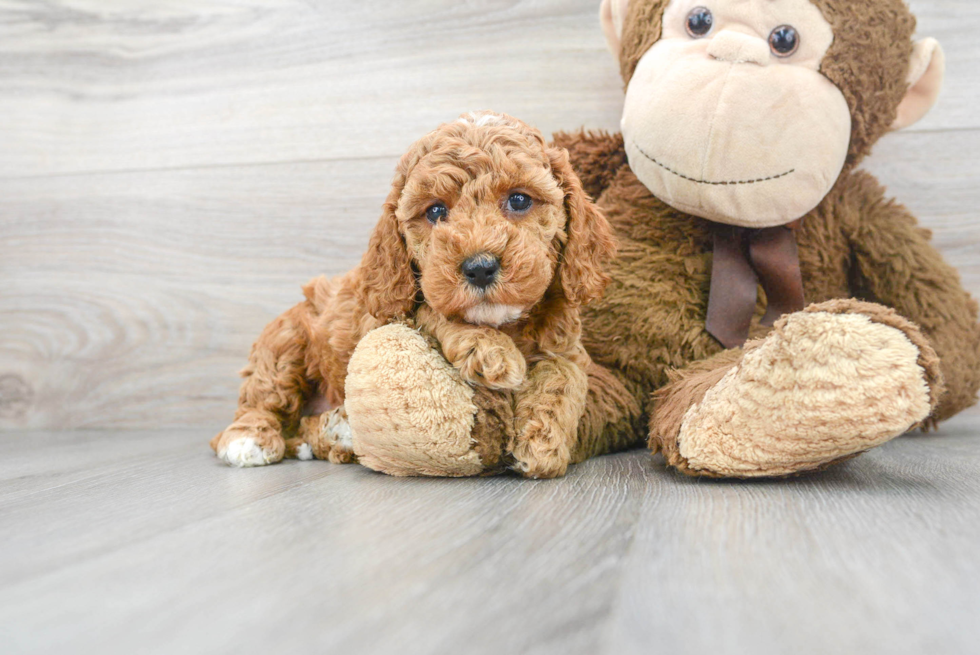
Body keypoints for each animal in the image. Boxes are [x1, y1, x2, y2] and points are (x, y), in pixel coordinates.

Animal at [212, 113, 612, 480]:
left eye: (518, 200)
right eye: (435, 211)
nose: (480, 267)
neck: (505, 323)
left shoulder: (567, 347)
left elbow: (564, 378)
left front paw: (543, 443)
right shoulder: (394, 308)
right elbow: (436, 312)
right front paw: (489, 351)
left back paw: (337, 432)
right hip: (285, 344)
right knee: (262, 401)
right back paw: (248, 440)